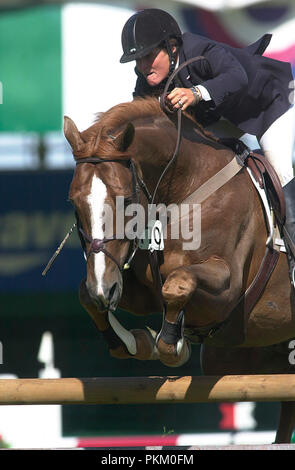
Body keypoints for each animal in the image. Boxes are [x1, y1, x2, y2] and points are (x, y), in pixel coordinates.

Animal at [64, 97, 295, 442]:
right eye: (74, 203)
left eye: (126, 200)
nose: (104, 289)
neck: (184, 192)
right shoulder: (135, 287)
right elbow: (87, 295)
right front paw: (134, 342)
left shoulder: (228, 291)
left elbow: (178, 285)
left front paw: (173, 344)